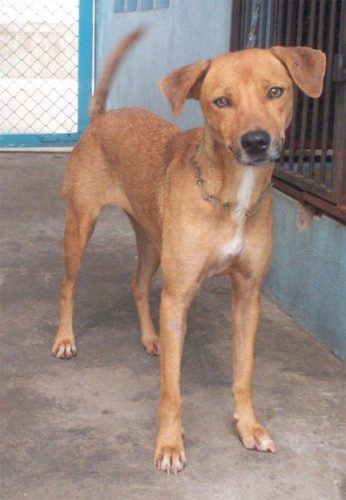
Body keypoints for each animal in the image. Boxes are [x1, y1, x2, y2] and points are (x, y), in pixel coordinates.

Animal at [51, 29, 324, 474]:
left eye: (275, 91)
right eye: (221, 101)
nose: (256, 141)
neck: (232, 197)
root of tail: (102, 119)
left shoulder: (247, 296)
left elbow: (244, 374)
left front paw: (249, 426)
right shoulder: (178, 295)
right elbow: (171, 387)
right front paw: (169, 444)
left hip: (152, 243)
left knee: (138, 285)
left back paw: (152, 337)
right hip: (80, 226)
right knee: (68, 286)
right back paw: (64, 339)